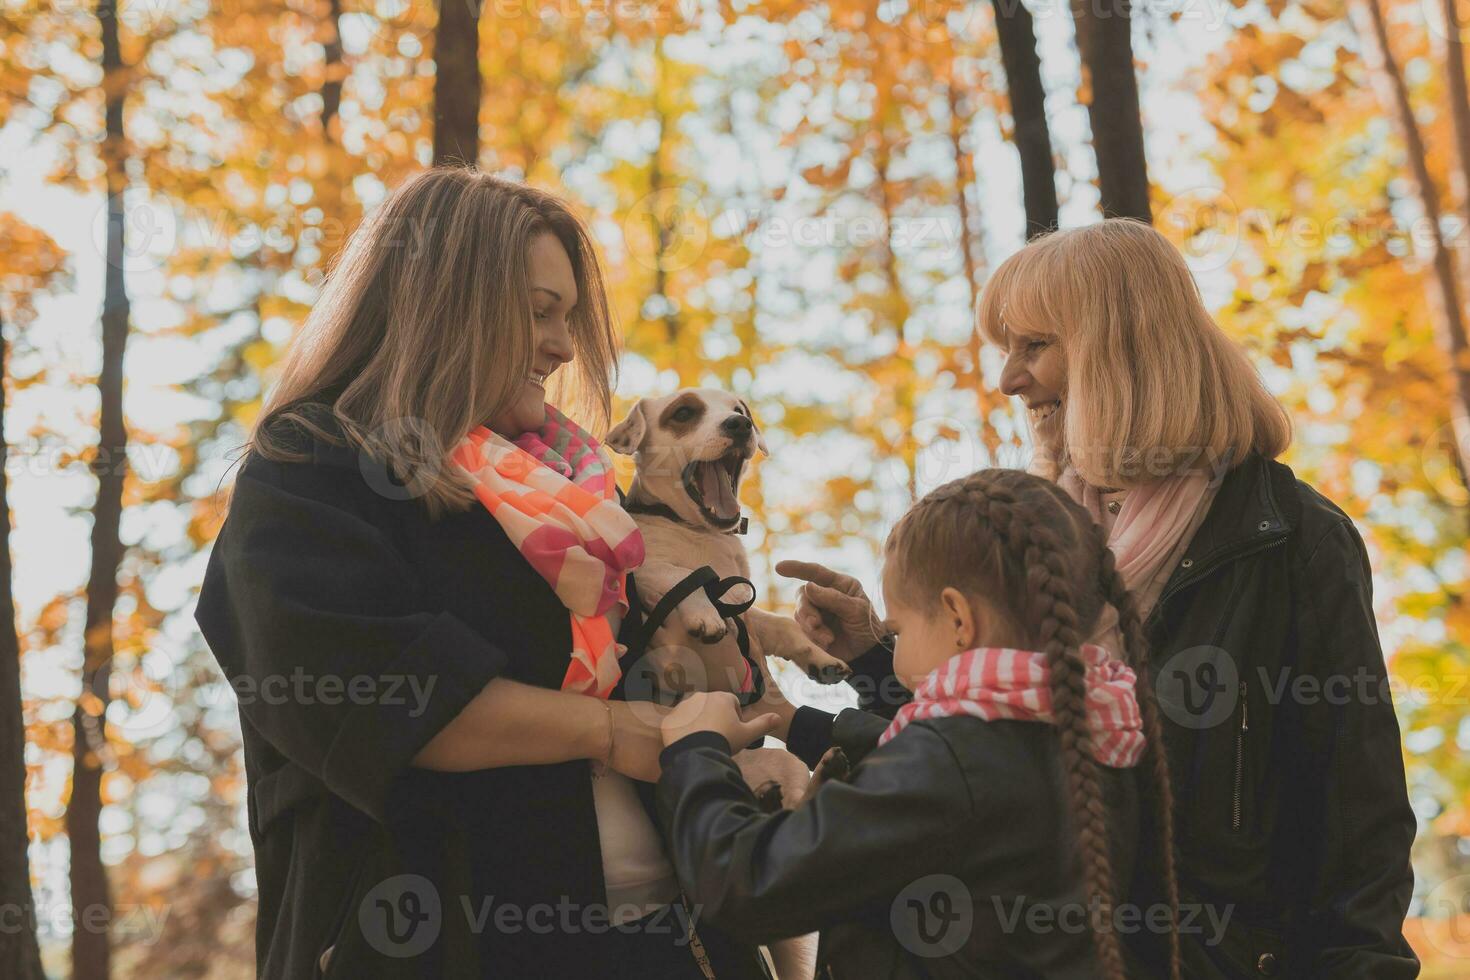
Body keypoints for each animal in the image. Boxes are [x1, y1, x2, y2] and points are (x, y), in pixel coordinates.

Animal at [605, 387, 846, 980]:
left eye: (741, 410)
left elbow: (778, 624)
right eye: (684, 412)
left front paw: (821, 658)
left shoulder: (747, 608)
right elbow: (675, 579)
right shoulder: (656, 598)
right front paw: (701, 614)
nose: (739, 427)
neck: (698, 539)